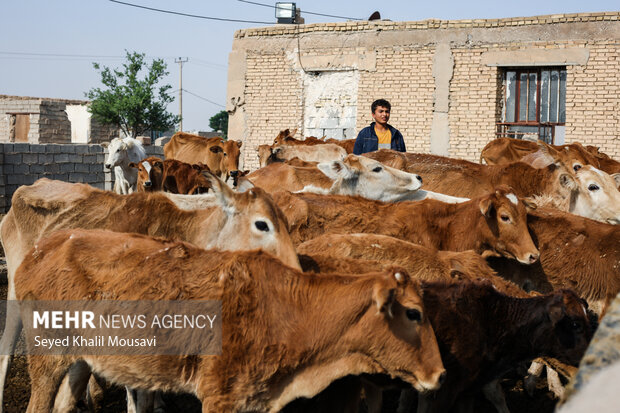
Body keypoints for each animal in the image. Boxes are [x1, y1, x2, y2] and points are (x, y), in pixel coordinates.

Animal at [17, 229, 446, 412]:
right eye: (413, 312)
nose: (440, 374)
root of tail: (44, 246)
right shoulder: (219, 397)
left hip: (78, 359)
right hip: (46, 358)